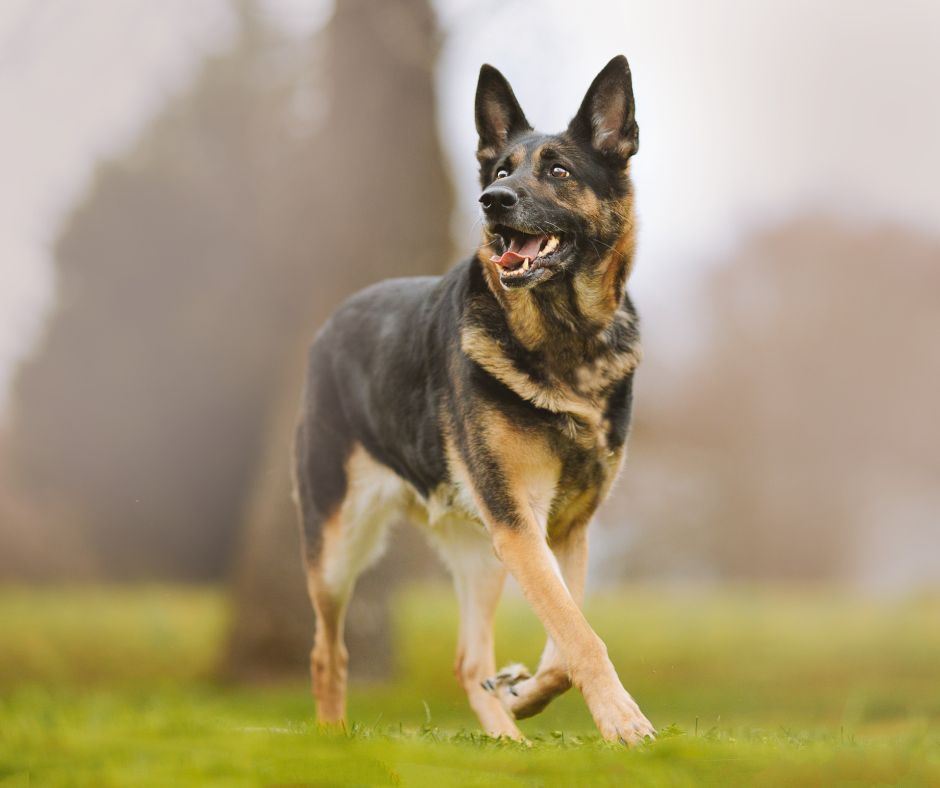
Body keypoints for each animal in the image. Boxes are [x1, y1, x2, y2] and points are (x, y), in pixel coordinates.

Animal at [294, 55, 652, 744]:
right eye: (502, 171)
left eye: (559, 171)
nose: (492, 201)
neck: (565, 341)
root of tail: (330, 323)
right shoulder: (521, 525)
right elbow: (580, 636)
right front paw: (623, 721)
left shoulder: (562, 531)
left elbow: (565, 641)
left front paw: (524, 694)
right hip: (339, 545)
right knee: (327, 652)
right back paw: (333, 741)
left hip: (481, 553)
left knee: (468, 661)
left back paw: (507, 738)